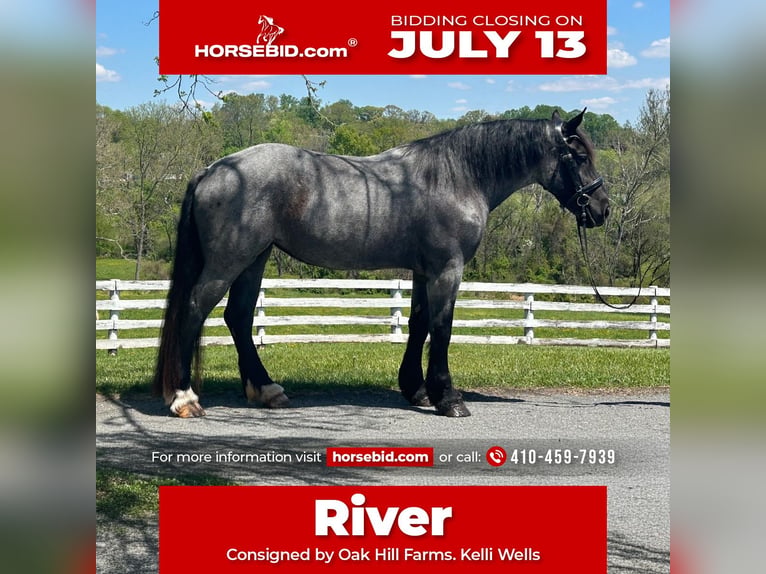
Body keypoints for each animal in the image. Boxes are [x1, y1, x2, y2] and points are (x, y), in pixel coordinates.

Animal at [154, 109, 609, 418]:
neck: (457, 177)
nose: (602, 209)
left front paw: (417, 390)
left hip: (255, 258)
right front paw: (448, 398)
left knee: (239, 316)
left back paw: (266, 390)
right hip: (230, 261)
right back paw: (185, 399)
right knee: (194, 311)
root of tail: (213, 169)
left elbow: (419, 324)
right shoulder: (447, 269)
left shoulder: (425, 270)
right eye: (578, 157)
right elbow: (442, 329)